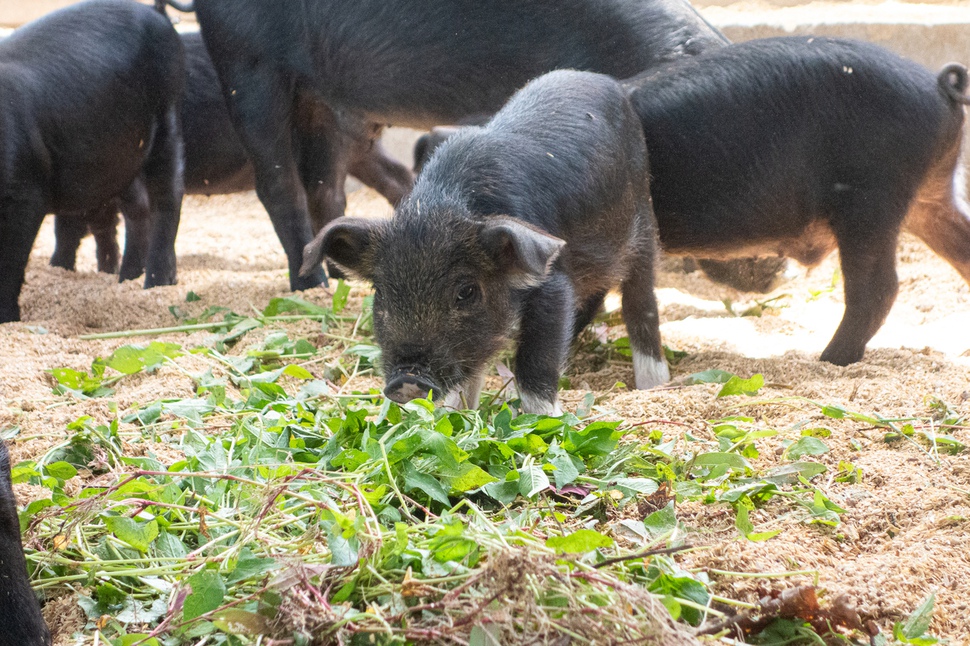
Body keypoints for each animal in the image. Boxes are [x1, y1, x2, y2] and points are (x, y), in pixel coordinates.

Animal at [0, 0, 184, 324]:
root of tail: (155, 13)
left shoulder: (25, 192)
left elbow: (10, 261)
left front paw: (6, 318)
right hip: (120, 155)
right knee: (137, 208)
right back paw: (126, 279)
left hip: (167, 114)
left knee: (168, 196)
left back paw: (156, 283)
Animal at [195, 0, 728, 292]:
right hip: (247, 62)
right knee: (277, 181)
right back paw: (311, 286)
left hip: (321, 96)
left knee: (326, 184)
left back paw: (341, 278)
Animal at [300, 71, 664, 416]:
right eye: (382, 293)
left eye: (467, 291)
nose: (407, 380)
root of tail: (610, 83)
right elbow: (470, 371)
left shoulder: (553, 285)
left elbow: (534, 365)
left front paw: (546, 421)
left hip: (644, 224)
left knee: (641, 304)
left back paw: (655, 385)